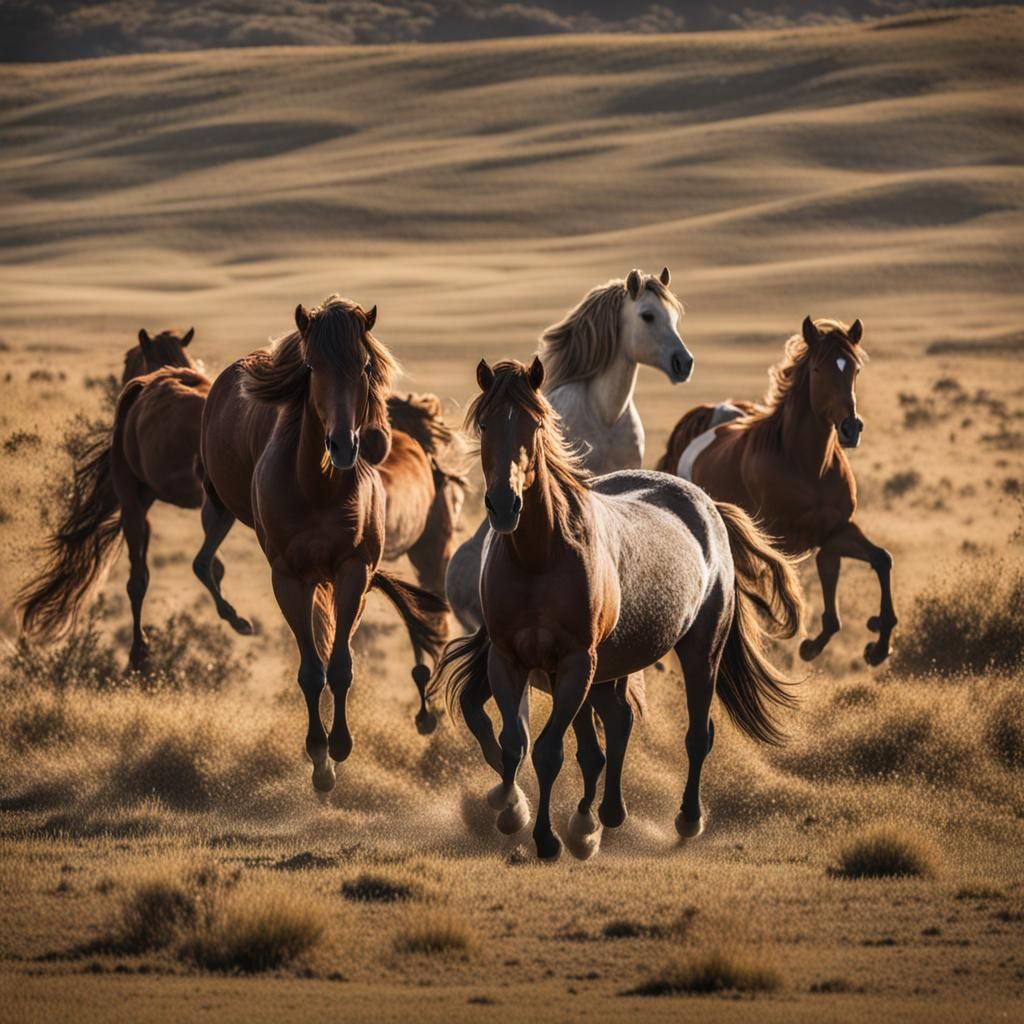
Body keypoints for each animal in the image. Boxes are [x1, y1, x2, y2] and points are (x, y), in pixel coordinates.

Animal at [15, 328, 233, 668]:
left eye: (127, 360)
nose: (121, 381)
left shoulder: (133, 503)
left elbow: (139, 580)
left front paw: (139, 650)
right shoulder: (148, 504)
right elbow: (209, 565)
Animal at [197, 295, 448, 790]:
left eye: (365, 364)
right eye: (312, 366)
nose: (345, 446)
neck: (316, 487)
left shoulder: (353, 571)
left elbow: (341, 664)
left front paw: (341, 745)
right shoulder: (290, 579)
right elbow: (313, 671)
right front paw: (320, 758)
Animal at [431, 358, 802, 861]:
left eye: (535, 424)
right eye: (485, 424)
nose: (505, 505)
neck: (539, 557)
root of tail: (706, 504)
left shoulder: (574, 664)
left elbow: (549, 751)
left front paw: (546, 837)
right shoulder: (508, 660)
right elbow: (516, 744)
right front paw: (512, 811)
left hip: (699, 652)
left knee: (697, 735)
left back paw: (686, 820)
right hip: (611, 666)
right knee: (618, 723)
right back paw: (603, 816)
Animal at [657, 316, 897, 666]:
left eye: (855, 369)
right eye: (818, 369)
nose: (851, 428)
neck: (808, 467)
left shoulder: (835, 531)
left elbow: (877, 560)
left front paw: (874, 645)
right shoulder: (778, 542)